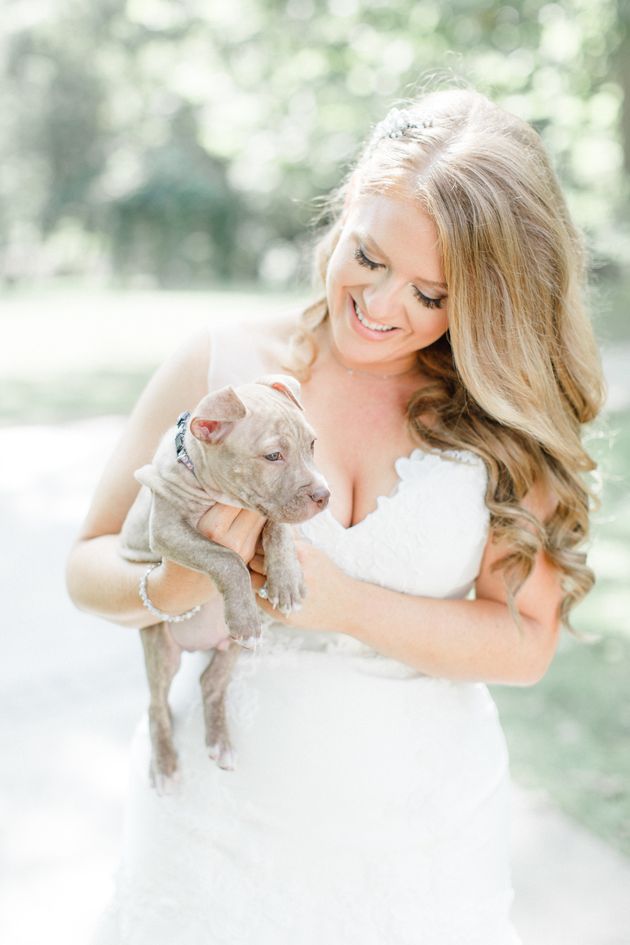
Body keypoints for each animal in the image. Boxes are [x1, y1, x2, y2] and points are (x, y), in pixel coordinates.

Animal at [120, 376, 334, 788]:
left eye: (313, 445)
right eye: (273, 456)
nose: (324, 495)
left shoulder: (265, 511)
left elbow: (277, 525)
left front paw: (286, 581)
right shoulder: (167, 531)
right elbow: (227, 559)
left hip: (232, 649)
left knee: (211, 682)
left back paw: (220, 742)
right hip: (159, 645)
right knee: (156, 703)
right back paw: (166, 764)